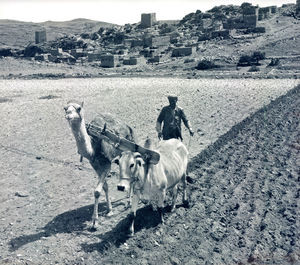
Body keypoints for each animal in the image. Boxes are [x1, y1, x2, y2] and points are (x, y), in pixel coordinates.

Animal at [65, 100, 138, 228]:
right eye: (65, 108)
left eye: (79, 108)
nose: (68, 115)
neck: (93, 147)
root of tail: (128, 127)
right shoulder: (95, 165)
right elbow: (105, 187)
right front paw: (109, 210)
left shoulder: (106, 163)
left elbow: (97, 191)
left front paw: (95, 221)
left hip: (130, 148)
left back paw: (129, 202)